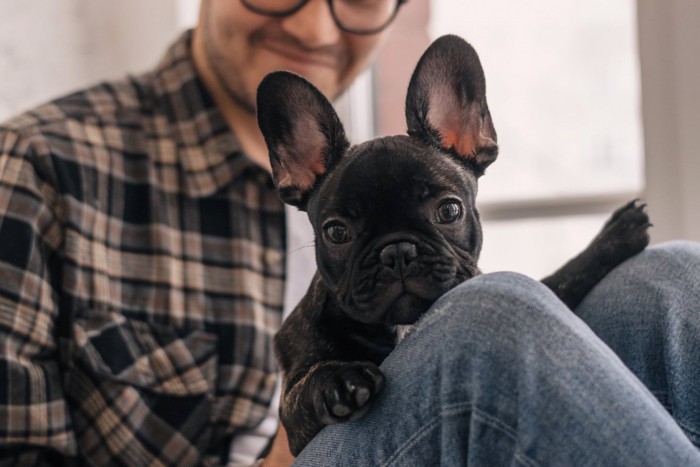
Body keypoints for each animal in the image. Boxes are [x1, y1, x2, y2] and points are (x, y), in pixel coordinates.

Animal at [256, 33, 652, 458]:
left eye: (449, 210)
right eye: (336, 233)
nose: (397, 252)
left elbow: (557, 280)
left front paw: (613, 236)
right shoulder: (295, 413)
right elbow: (302, 389)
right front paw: (336, 381)